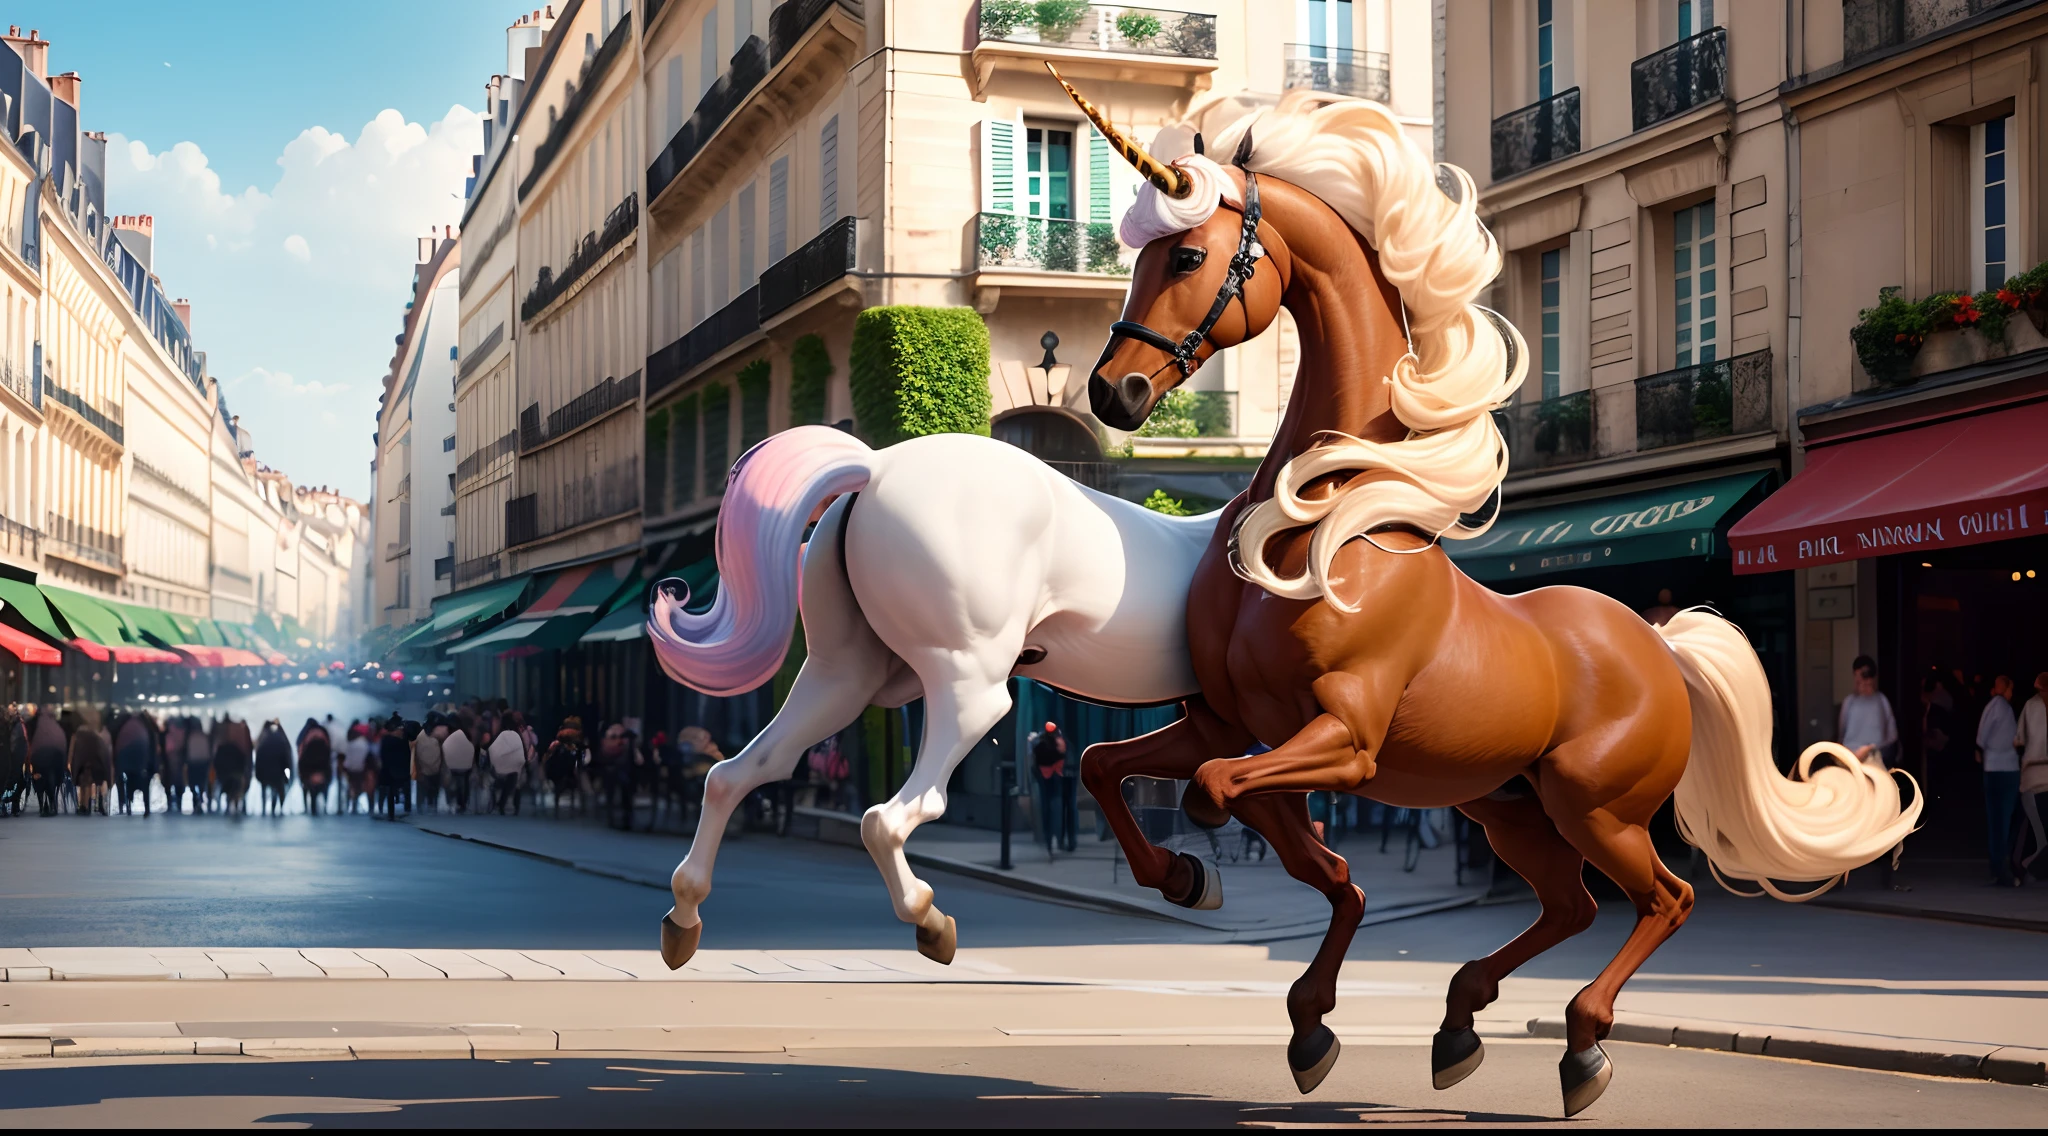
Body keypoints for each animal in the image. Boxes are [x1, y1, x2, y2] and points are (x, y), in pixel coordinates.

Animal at [1056, 82, 1916, 1121]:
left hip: (1594, 808)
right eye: (1138, 258)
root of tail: (1660, 644)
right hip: (1509, 810)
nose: (1115, 389)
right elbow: (1115, 769)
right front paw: (1201, 899)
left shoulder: (1343, 739)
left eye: (1186, 256)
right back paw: (1460, 1023)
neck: (1327, 522)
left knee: (1662, 899)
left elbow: (1230, 800)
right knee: (1573, 903)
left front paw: (1284, 976)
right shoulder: (1226, 720)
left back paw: (1581, 1047)